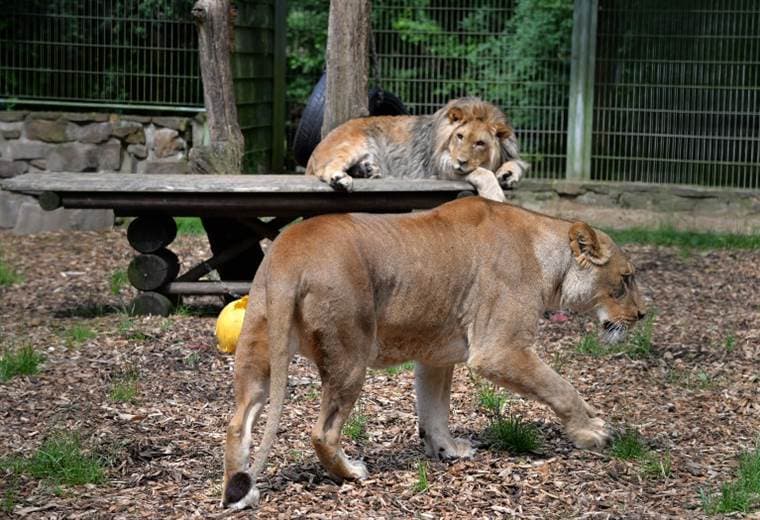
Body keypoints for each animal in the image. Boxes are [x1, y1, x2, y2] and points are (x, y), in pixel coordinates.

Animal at [221, 196, 646, 510]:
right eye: (625, 279)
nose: (643, 315)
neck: (547, 258)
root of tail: (290, 253)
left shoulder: (435, 356)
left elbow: (434, 410)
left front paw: (447, 450)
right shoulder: (500, 349)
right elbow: (561, 387)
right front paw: (591, 432)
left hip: (258, 353)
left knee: (238, 422)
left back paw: (242, 491)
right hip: (350, 355)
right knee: (322, 432)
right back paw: (352, 473)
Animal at [306, 97, 530, 202]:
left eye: (480, 143)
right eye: (459, 136)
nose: (460, 162)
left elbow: (518, 163)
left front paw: (508, 174)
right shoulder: (441, 166)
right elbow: (482, 172)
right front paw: (495, 194)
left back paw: (368, 170)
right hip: (353, 144)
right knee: (326, 169)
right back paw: (340, 179)